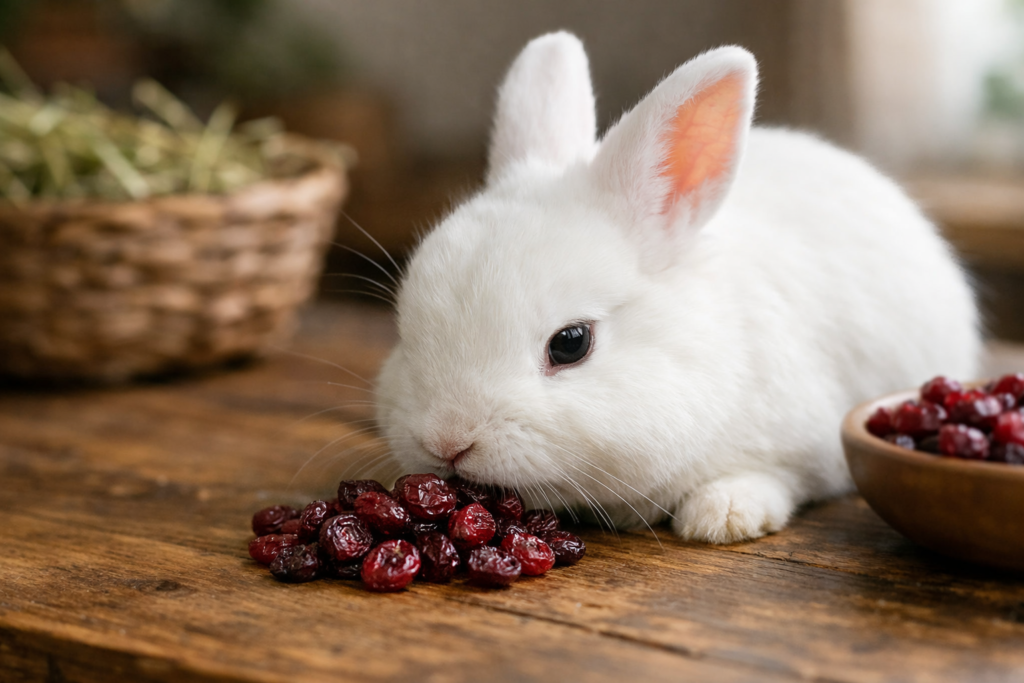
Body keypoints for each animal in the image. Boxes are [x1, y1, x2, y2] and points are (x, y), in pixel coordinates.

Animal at [373, 31, 980, 543]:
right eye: (406, 331)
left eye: (571, 343)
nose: (447, 441)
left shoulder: (810, 442)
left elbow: (774, 476)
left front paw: (724, 516)